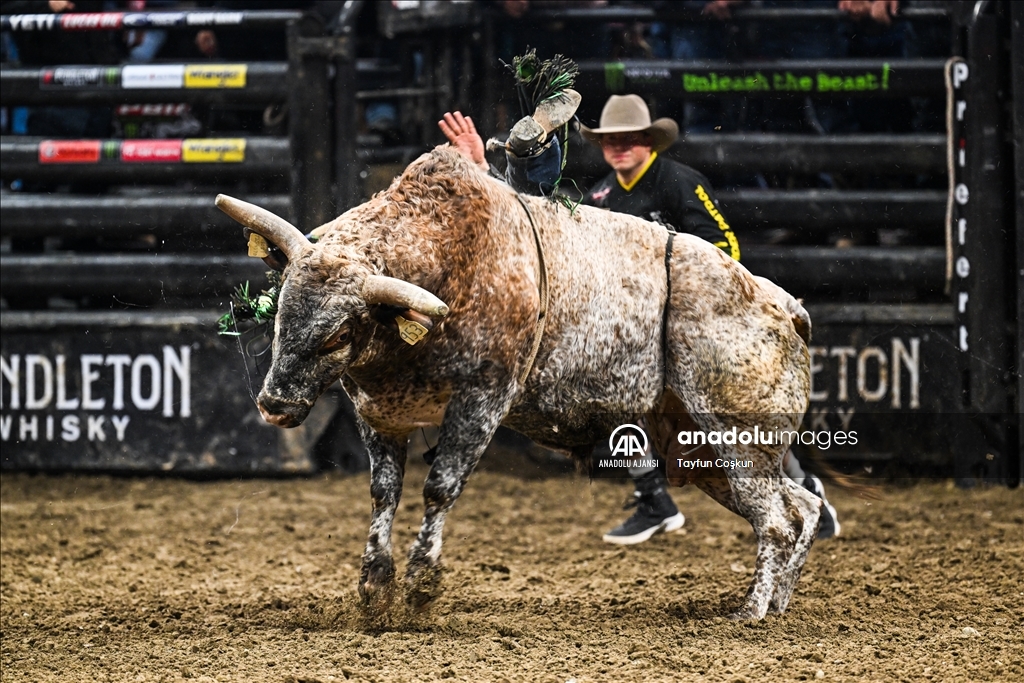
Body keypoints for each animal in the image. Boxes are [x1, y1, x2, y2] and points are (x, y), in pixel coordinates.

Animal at [218, 144, 823, 618]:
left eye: (339, 333)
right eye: (280, 314)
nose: (274, 404)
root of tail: (785, 305)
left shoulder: (482, 401)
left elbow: (439, 487)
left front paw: (420, 585)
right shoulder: (380, 412)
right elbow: (383, 492)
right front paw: (374, 586)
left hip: (738, 436)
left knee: (776, 520)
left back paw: (752, 611)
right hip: (700, 452)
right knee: (801, 508)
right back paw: (778, 603)